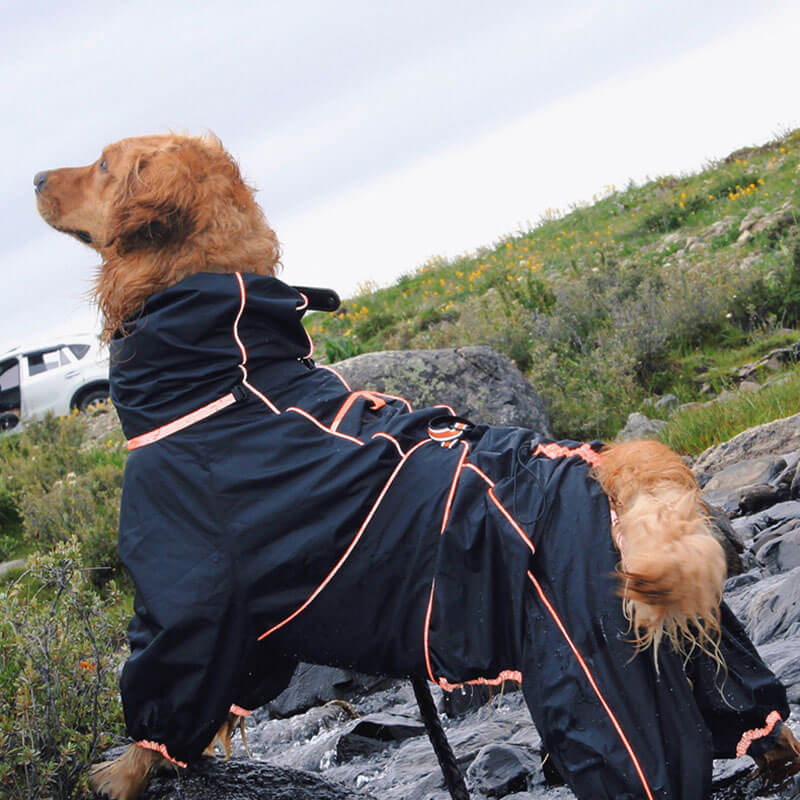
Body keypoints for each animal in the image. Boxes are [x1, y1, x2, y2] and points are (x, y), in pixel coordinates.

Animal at [34, 134, 796, 796]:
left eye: (102, 165)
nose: (36, 176)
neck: (226, 366)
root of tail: (610, 466)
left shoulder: (191, 598)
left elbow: (163, 699)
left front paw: (123, 774)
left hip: (597, 676)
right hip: (701, 645)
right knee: (754, 711)